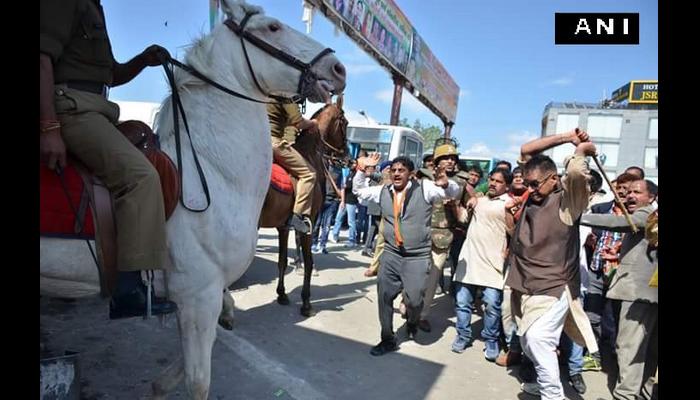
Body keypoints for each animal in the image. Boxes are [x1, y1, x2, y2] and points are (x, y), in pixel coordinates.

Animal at [258, 96, 348, 316]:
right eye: (346, 123)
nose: (347, 156)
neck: (309, 155)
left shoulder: (283, 227)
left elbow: (282, 260)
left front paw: (282, 294)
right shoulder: (310, 223)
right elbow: (308, 261)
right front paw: (306, 302)